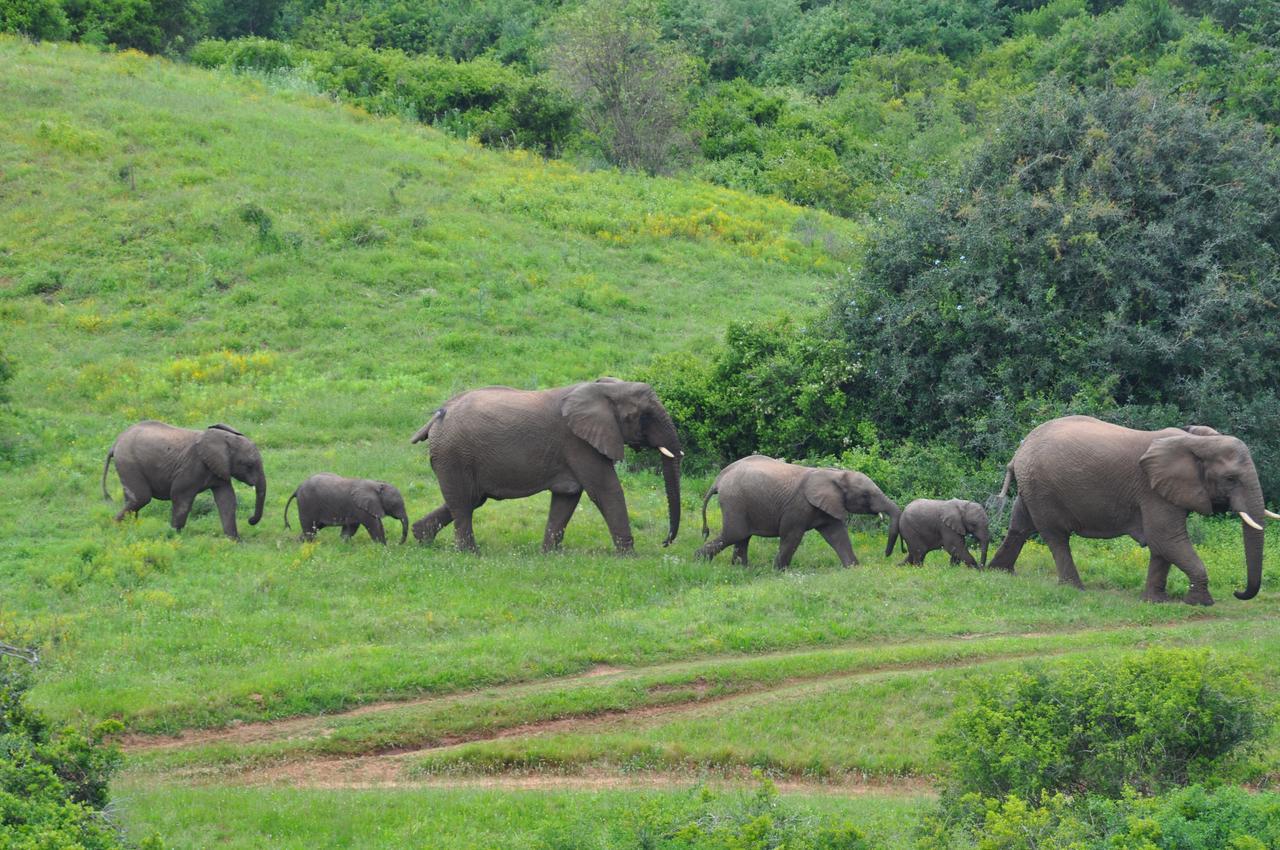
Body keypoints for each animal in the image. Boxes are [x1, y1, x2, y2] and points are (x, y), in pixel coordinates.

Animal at [101, 422, 267, 540]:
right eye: (249, 465)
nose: (250, 520)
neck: (224, 438)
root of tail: (115, 443)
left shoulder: (219, 468)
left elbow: (227, 500)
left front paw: (234, 541)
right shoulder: (193, 466)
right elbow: (180, 496)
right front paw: (175, 535)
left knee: (133, 500)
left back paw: (131, 527)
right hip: (129, 462)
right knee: (141, 498)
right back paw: (116, 527)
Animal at [414, 376, 686, 550]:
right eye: (644, 416)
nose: (665, 543)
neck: (602, 389)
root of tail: (438, 414)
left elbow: (567, 497)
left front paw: (549, 554)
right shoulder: (578, 442)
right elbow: (605, 490)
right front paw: (629, 557)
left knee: (471, 499)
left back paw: (421, 538)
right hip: (454, 454)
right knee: (463, 503)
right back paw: (470, 553)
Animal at [696, 455, 906, 568]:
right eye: (866, 495)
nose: (888, 555)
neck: (833, 474)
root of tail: (719, 478)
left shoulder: (827, 507)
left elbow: (838, 536)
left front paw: (853, 568)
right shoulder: (798, 507)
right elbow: (792, 536)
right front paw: (779, 571)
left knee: (742, 538)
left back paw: (740, 569)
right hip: (735, 502)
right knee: (734, 534)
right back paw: (698, 560)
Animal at [977, 412, 1269, 604]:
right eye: (1230, 479)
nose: (1237, 592)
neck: (1195, 441)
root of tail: (1019, 450)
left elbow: (1162, 544)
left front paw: (1155, 601)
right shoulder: (1152, 491)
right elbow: (1166, 538)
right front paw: (1200, 603)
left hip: (1032, 486)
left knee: (1021, 526)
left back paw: (1000, 573)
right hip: (1042, 487)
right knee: (1056, 536)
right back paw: (1075, 589)